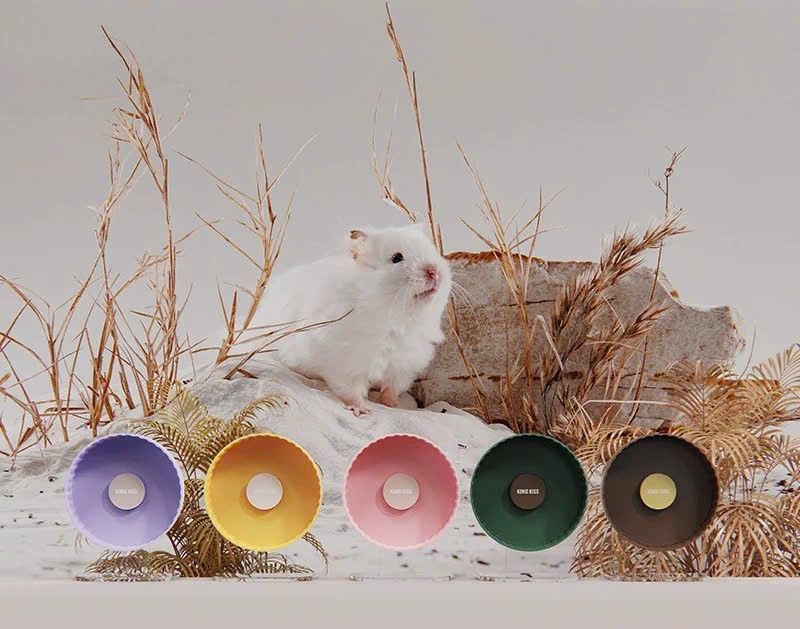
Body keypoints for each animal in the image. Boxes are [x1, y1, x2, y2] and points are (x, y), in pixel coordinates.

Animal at [251, 224, 452, 416]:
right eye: (397, 258)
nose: (434, 272)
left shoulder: (402, 367)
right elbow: (352, 391)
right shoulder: (347, 364)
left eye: (432, 251)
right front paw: (361, 410)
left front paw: (394, 406)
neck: (396, 315)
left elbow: (390, 389)